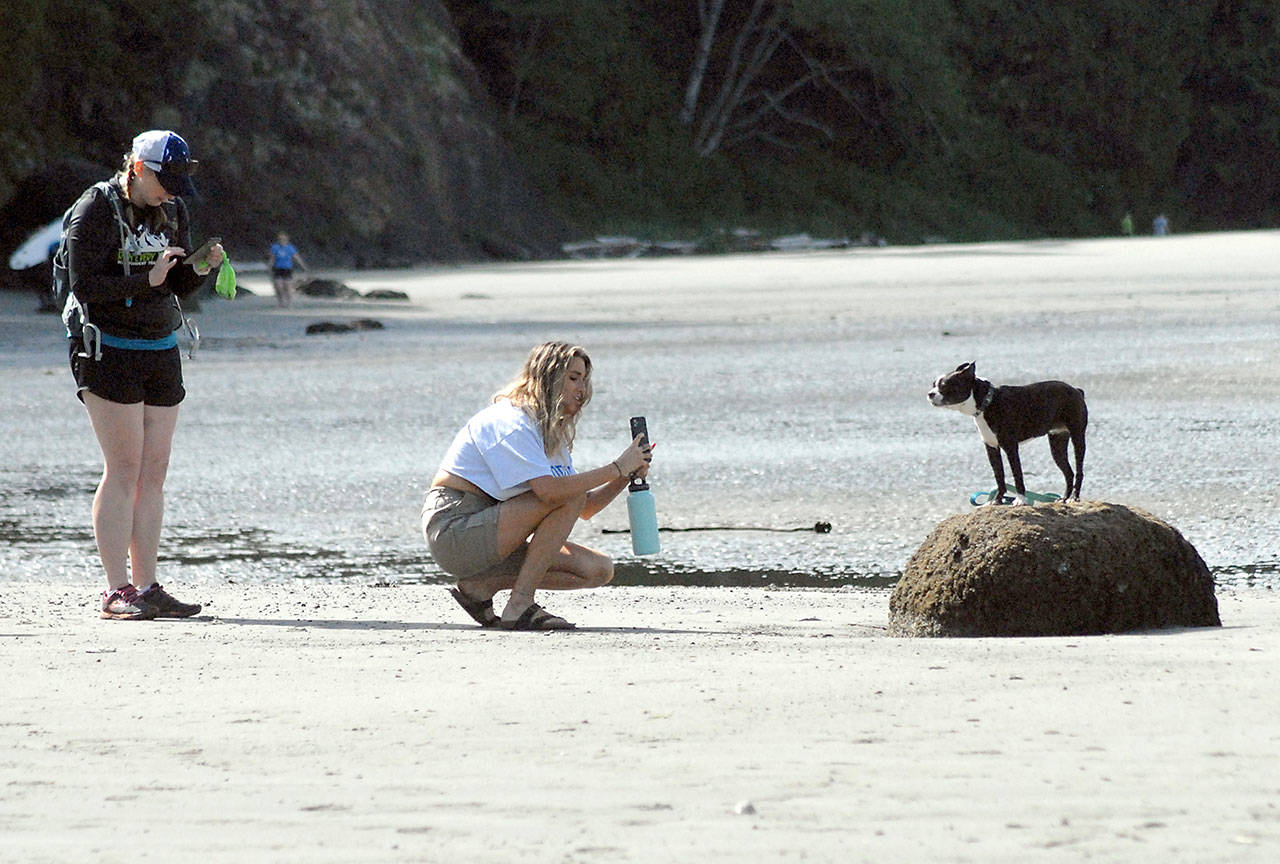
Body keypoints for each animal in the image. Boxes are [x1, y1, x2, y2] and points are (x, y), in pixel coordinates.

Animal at [928, 362, 1087, 504]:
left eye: (944, 385)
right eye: (933, 384)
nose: (930, 394)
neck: (987, 403)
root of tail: (1076, 390)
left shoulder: (1010, 447)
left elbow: (1017, 474)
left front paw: (1020, 500)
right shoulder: (991, 447)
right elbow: (999, 475)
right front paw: (998, 500)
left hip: (1077, 438)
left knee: (1079, 470)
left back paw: (1074, 497)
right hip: (1057, 443)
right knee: (1068, 473)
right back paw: (1064, 498)